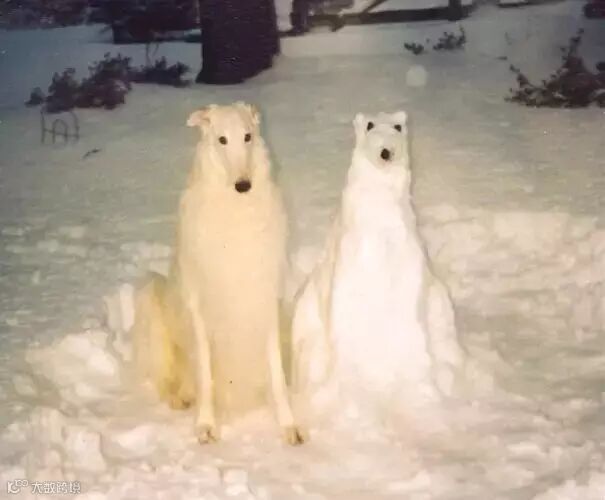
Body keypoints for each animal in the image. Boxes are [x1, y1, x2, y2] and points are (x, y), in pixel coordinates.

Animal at [132, 102, 304, 445]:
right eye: (221, 140)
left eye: (248, 136)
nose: (243, 186)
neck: (235, 214)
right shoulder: (200, 309)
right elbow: (206, 376)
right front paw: (206, 425)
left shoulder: (264, 299)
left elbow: (276, 373)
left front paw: (288, 426)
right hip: (150, 297)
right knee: (166, 380)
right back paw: (180, 398)